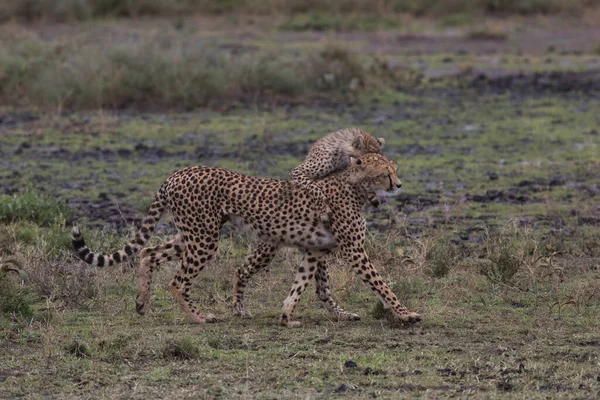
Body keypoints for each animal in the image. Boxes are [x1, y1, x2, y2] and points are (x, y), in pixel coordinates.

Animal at [72, 155, 420, 326]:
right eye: (386, 172)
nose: (399, 184)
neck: (354, 188)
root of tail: (178, 173)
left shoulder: (314, 249)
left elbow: (310, 287)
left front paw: (290, 316)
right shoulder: (353, 250)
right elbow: (381, 285)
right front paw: (405, 314)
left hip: (193, 234)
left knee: (148, 251)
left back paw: (142, 302)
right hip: (204, 239)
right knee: (177, 281)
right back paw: (199, 317)